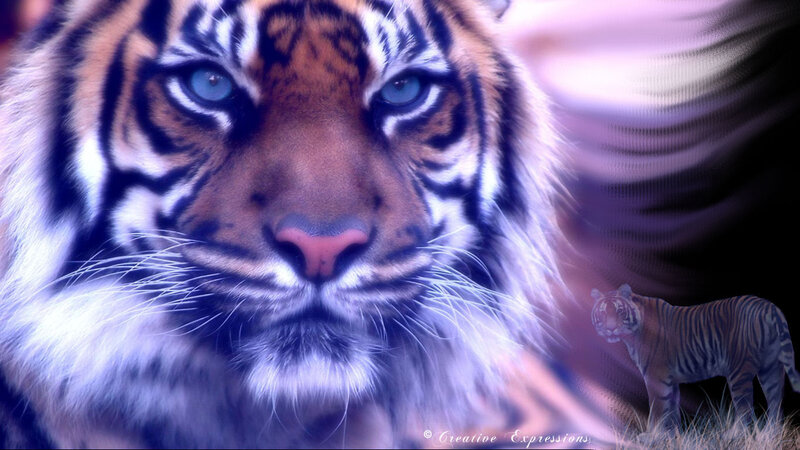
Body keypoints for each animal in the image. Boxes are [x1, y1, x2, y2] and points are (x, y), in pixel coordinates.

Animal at [591, 284, 800, 434]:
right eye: (602, 312)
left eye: (619, 311)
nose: (610, 329)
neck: (631, 336)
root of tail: (769, 307)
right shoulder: (670, 380)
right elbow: (671, 412)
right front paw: (673, 437)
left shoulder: (655, 377)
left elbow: (657, 410)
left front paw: (651, 437)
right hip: (771, 369)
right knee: (775, 403)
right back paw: (770, 435)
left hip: (738, 372)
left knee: (745, 408)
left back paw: (733, 436)